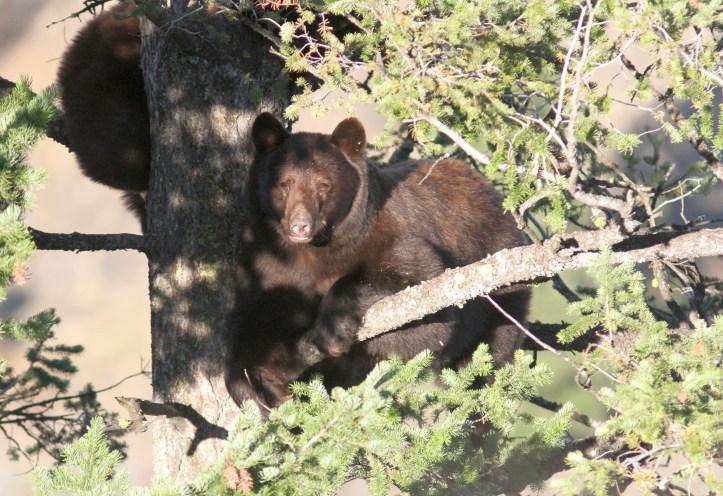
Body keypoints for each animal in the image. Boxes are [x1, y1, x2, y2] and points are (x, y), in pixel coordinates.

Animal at [224, 112, 530, 409]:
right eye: (284, 183)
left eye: (324, 184)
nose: (301, 225)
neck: (312, 253)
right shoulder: (265, 263)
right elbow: (249, 320)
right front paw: (249, 385)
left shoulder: (393, 235)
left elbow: (426, 301)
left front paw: (332, 330)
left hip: (502, 297)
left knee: (487, 361)